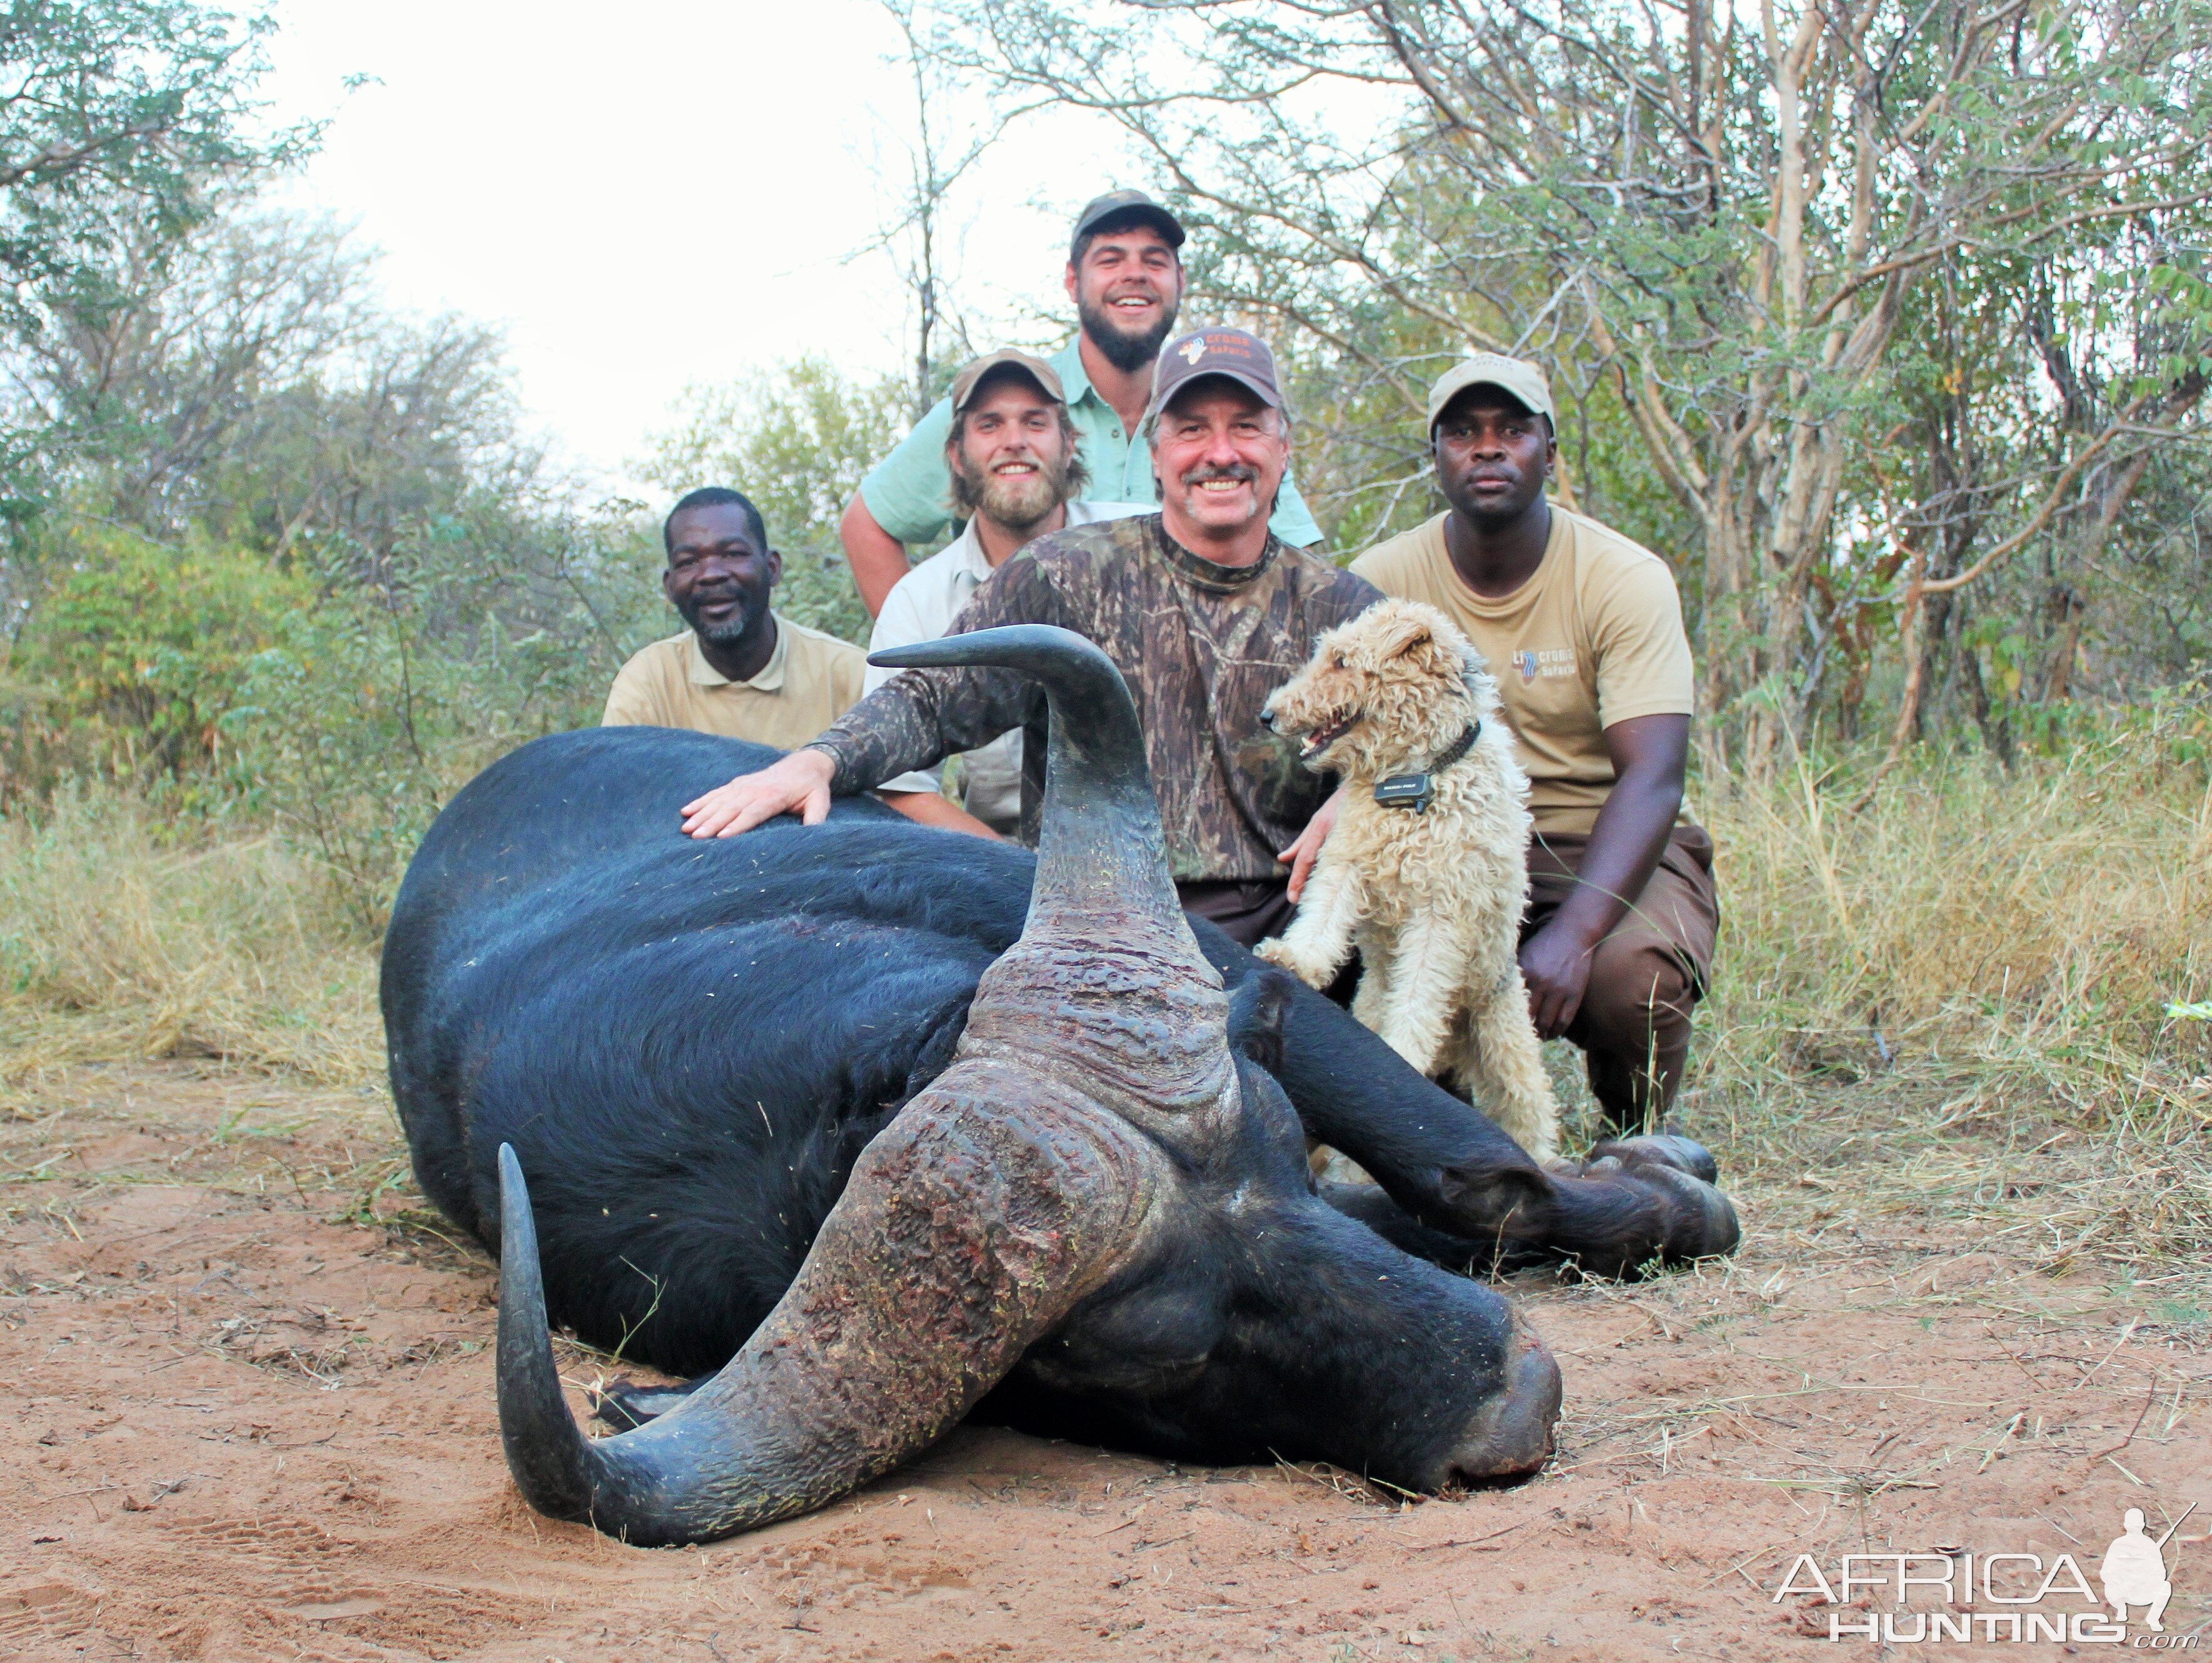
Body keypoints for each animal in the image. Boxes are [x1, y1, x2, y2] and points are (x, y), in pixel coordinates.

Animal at [1256, 592, 1566, 1158]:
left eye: (1342, 661)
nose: (1268, 715)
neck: (1411, 780)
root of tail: (1456, 1044)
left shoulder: (1442, 912)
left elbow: (1420, 992)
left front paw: (1402, 1051)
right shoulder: (1347, 864)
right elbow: (1319, 923)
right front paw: (1293, 959)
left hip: (1503, 1044)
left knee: (1526, 1114)